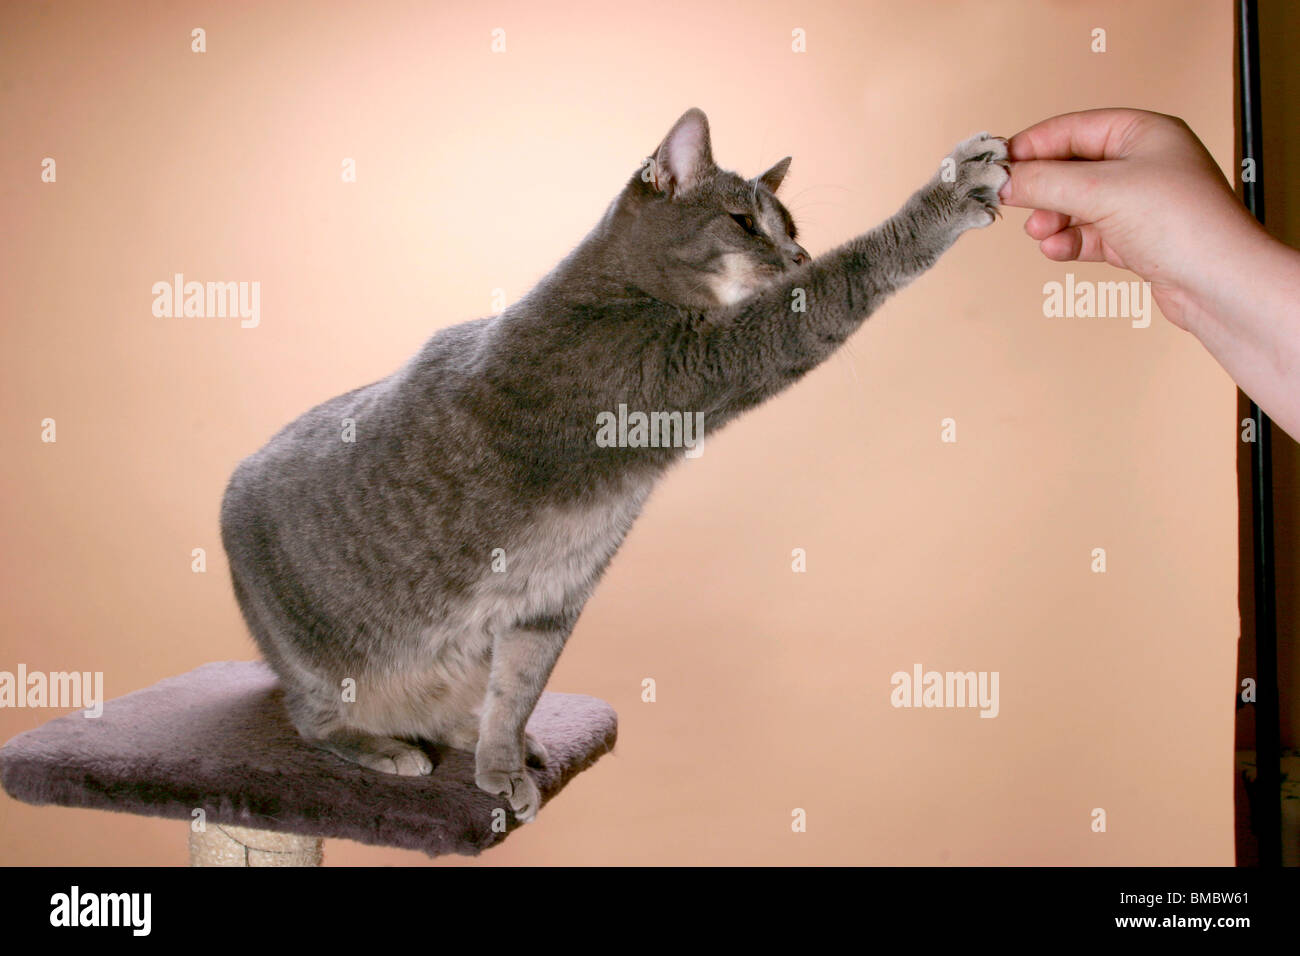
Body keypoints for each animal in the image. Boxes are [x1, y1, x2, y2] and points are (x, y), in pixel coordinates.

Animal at [220, 106, 1003, 822]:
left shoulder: (550, 602)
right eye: (745, 223)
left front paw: (501, 765)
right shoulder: (698, 366)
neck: (623, 289)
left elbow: (517, 692)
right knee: (311, 719)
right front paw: (947, 195)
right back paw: (383, 748)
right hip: (314, 661)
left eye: (796, 232)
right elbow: (840, 284)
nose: (798, 260)